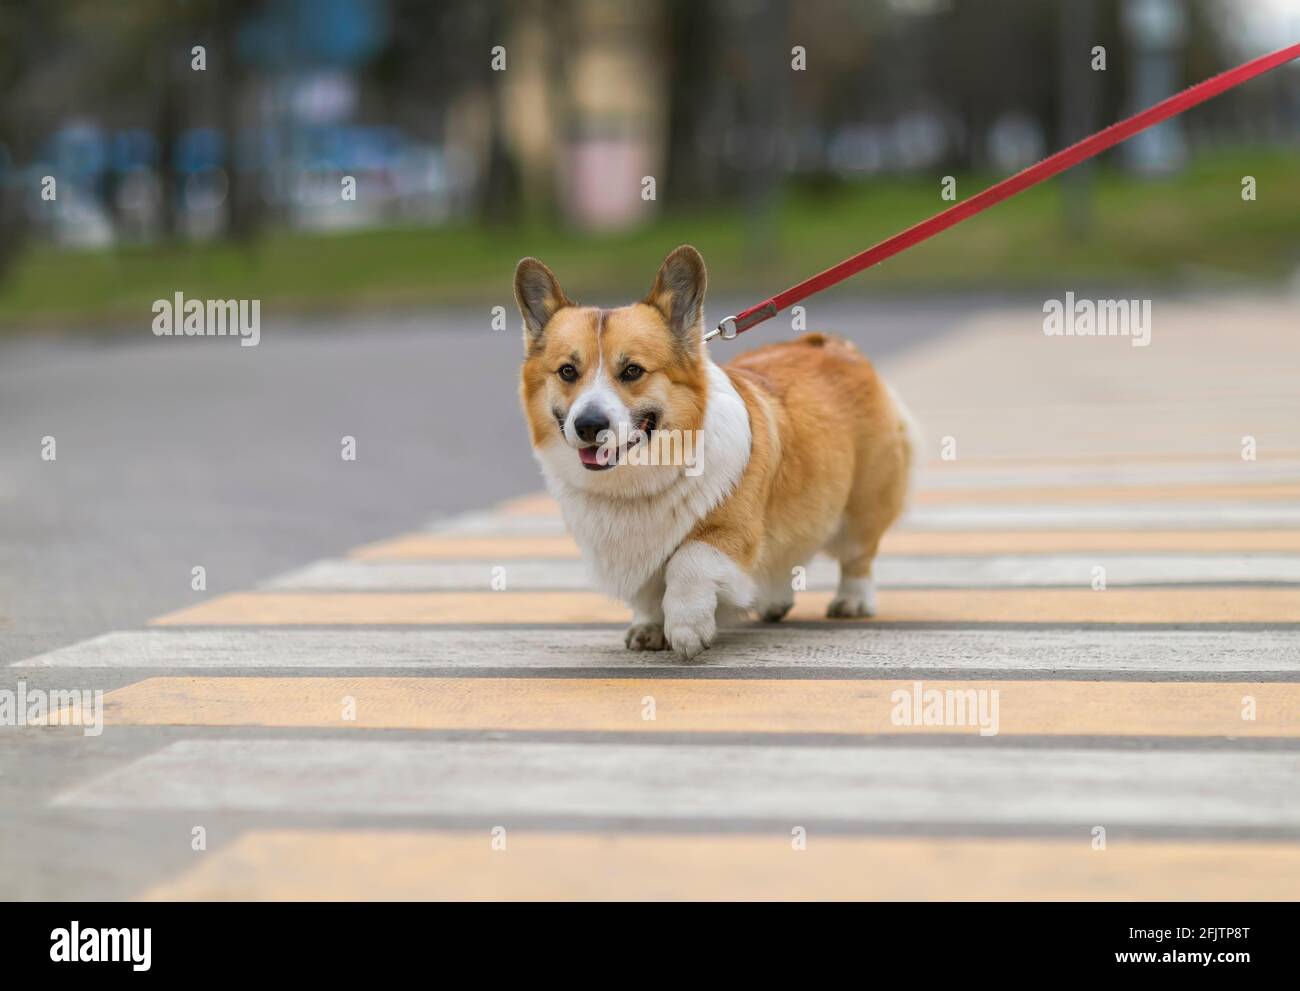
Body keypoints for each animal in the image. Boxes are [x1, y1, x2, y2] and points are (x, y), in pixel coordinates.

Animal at [514, 245, 915, 655]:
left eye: (632, 371)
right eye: (567, 371)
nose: (589, 425)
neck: (637, 480)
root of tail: (837, 344)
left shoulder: (734, 532)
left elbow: (688, 560)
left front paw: (688, 629)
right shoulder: (639, 558)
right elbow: (647, 592)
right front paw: (648, 628)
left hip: (862, 505)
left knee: (858, 556)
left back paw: (852, 600)